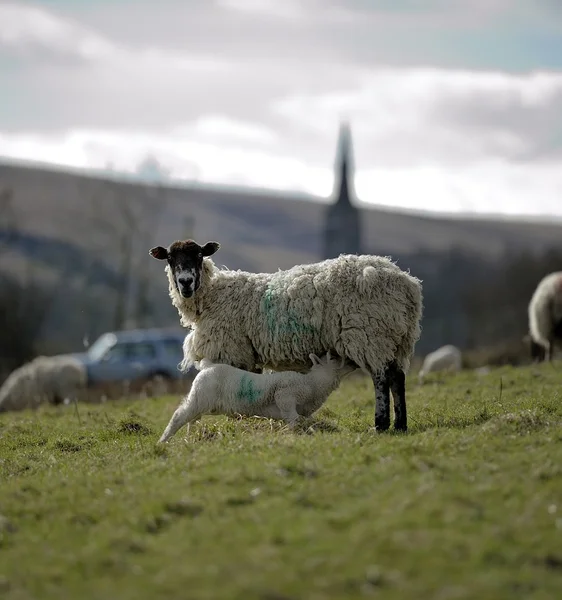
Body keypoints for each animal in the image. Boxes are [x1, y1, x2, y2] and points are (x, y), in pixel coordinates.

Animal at [149, 238, 420, 432]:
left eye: (198, 255)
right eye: (170, 258)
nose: (185, 282)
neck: (213, 295)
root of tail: (407, 283)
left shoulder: (233, 351)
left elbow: (239, 384)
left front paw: (240, 422)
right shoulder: (248, 353)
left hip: (370, 334)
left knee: (382, 377)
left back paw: (381, 424)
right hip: (395, 338)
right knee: (397, 377)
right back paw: (400, 425)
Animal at [156, 350, 354, 442]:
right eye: (334, 359)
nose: (352, 362)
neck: (312, 383)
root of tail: (207, 365)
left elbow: (307, 420)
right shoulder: (285, 397)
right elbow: (294, 420)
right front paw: (295, 434)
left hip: (204, 402)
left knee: (191, 418)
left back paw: (191, 437)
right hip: (200, 396)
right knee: (179, 416)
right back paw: (164, 441)